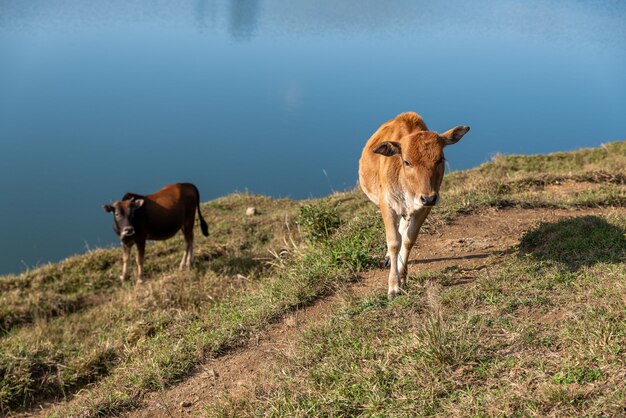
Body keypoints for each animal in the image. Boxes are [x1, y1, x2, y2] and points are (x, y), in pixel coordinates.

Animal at [358, 112, 466, 298]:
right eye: (407, 162)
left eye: (440, 159)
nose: (428, 198)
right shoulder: (387, 204)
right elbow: (394, 242)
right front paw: (393, 286)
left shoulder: (424, 208)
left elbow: (409, 239)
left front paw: (402, 275)